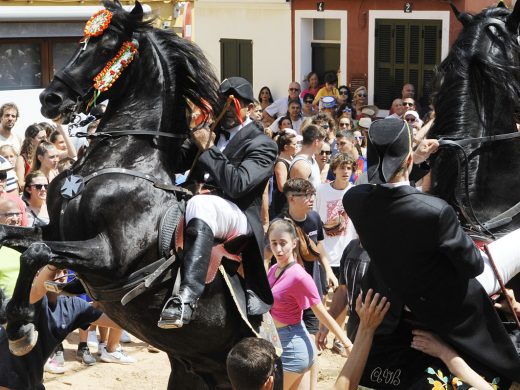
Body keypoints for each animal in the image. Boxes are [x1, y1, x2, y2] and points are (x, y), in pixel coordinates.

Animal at [2, 1, 264, 388]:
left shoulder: (111, 256)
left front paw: (21, 325)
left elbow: (36, 253)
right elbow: (16, 240)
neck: (124, 155)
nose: (50, 98)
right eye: (81, 41)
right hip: (189, 372)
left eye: (107, 47)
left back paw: (177, 308)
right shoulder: (54, 230)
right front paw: (18, 322)